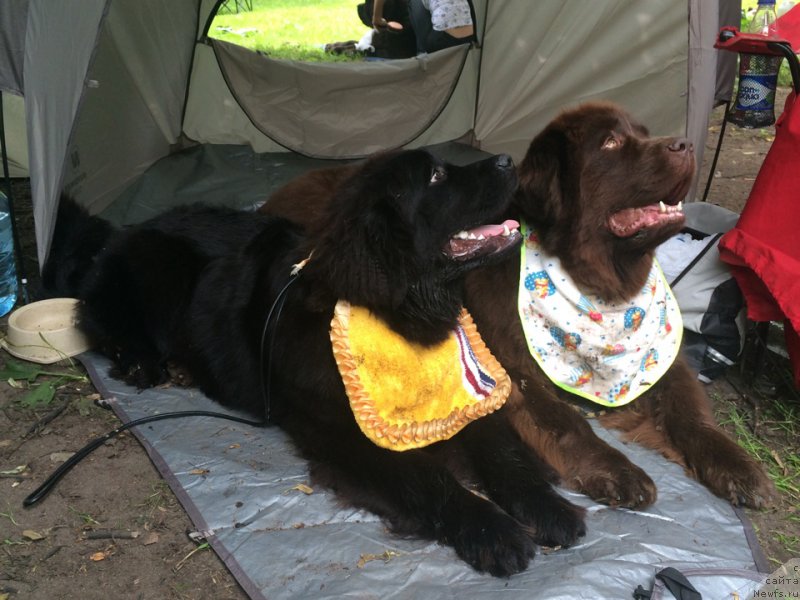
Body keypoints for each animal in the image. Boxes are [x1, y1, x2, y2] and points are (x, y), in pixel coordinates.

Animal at [47, 150, 588, 576]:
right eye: (435, 176)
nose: (506, 159)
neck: (402, 310)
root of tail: (129, 227)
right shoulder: (350, 437)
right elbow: (430, 480)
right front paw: (491, 531)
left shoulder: (460, 396)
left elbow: (504, 454)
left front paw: (548, 506)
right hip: (161, 267)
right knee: (106, 324)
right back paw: (146, 364)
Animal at [262, 102, 776, 506]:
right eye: (611, 143)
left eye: (645, 133)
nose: (686, 144)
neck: (596, 283)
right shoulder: (509, 369)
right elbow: (567, 422)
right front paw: (617, 470)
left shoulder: (657, 357)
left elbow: (691, 413)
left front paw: (737, 466)